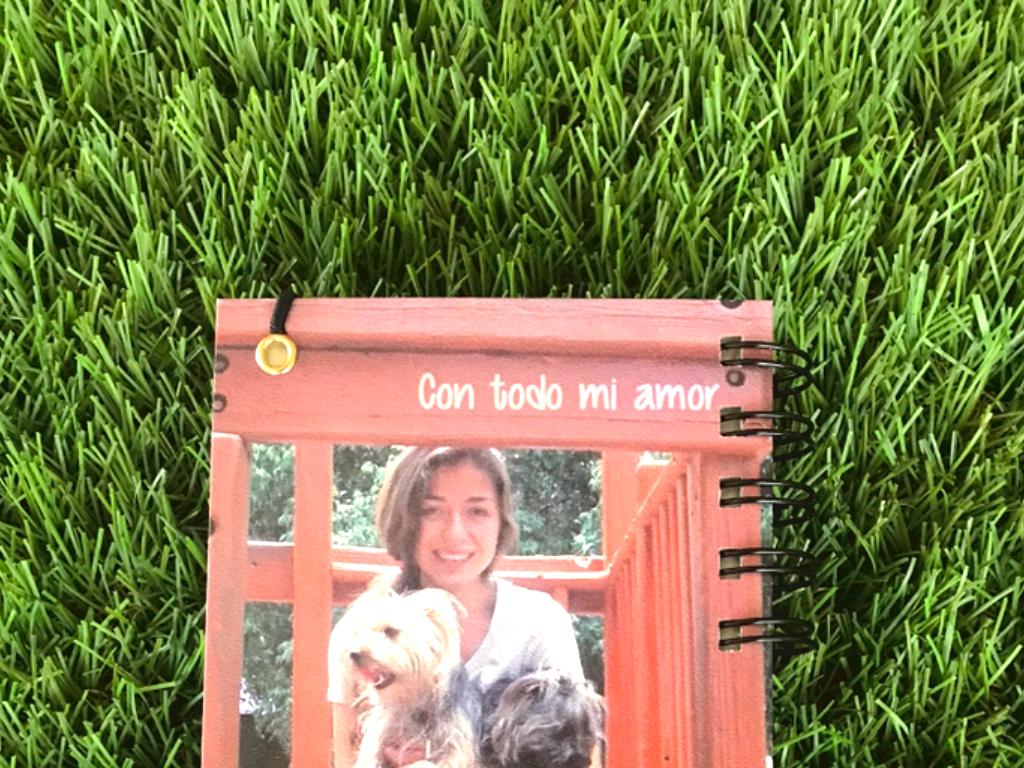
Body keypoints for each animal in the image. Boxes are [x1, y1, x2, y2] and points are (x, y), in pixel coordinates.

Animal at [337, 579, 476, 768]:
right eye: (358, 632)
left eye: (390, 631)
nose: (354, 653)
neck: (413, 704)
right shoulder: (381, 733)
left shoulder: (455, 747)